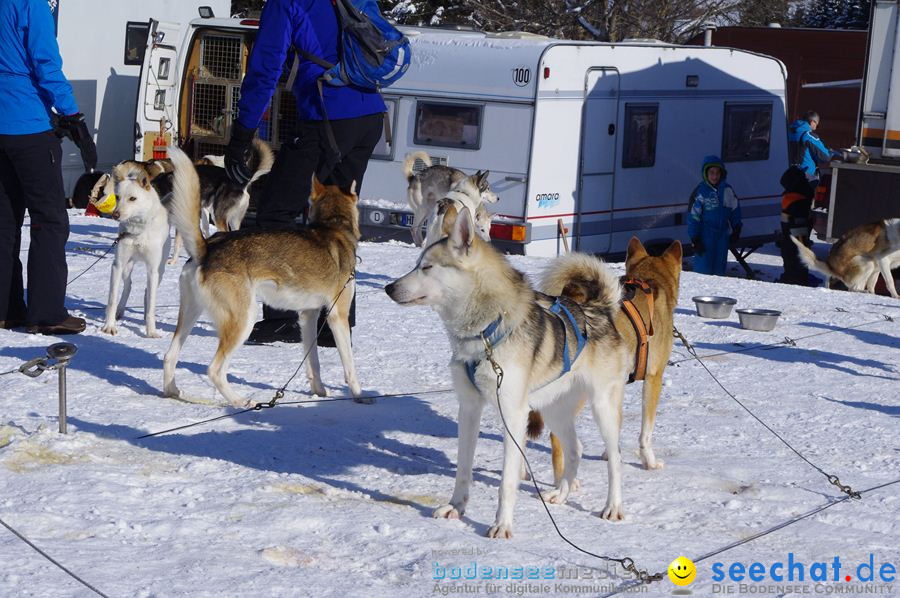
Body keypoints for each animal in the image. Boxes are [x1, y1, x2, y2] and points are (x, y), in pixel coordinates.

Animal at [101, 161, 173, 338]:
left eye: (132, 198)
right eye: (117, 197)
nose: (115, 215)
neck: (137, 230)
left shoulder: (153, 269)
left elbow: (151, 304)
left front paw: (151, 331)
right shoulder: (118, 265)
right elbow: (112, 299)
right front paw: (109, 326)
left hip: (159, 271)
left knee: (148, 292)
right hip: (127, 267)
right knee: (128, 286)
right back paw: (120, 311)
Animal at [162, 146, 362, 408]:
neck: (334, 226)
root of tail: (207, 248)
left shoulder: (308, 316)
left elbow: (313, 363)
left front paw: (318, 390)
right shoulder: (338, 316)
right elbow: (350, 366)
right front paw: (359, 395)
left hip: (190, 315)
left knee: (169, 356)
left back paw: (175, 392)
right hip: (244, 318)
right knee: (215, 370)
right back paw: (240, 401)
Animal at [386, 210, 632, 540]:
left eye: (427, 267)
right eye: (416, 264)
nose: (388, 288)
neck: (485, 332)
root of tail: (598, 310)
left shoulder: (514, 414)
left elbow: (506, 482)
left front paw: (502, 524)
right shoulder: (469, 408)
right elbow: (463, 469)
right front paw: (456, 507)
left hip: (603, 408)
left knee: (615, 459)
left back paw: (613, 507)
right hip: (553, 411)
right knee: (575, 449)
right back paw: (562, 494)